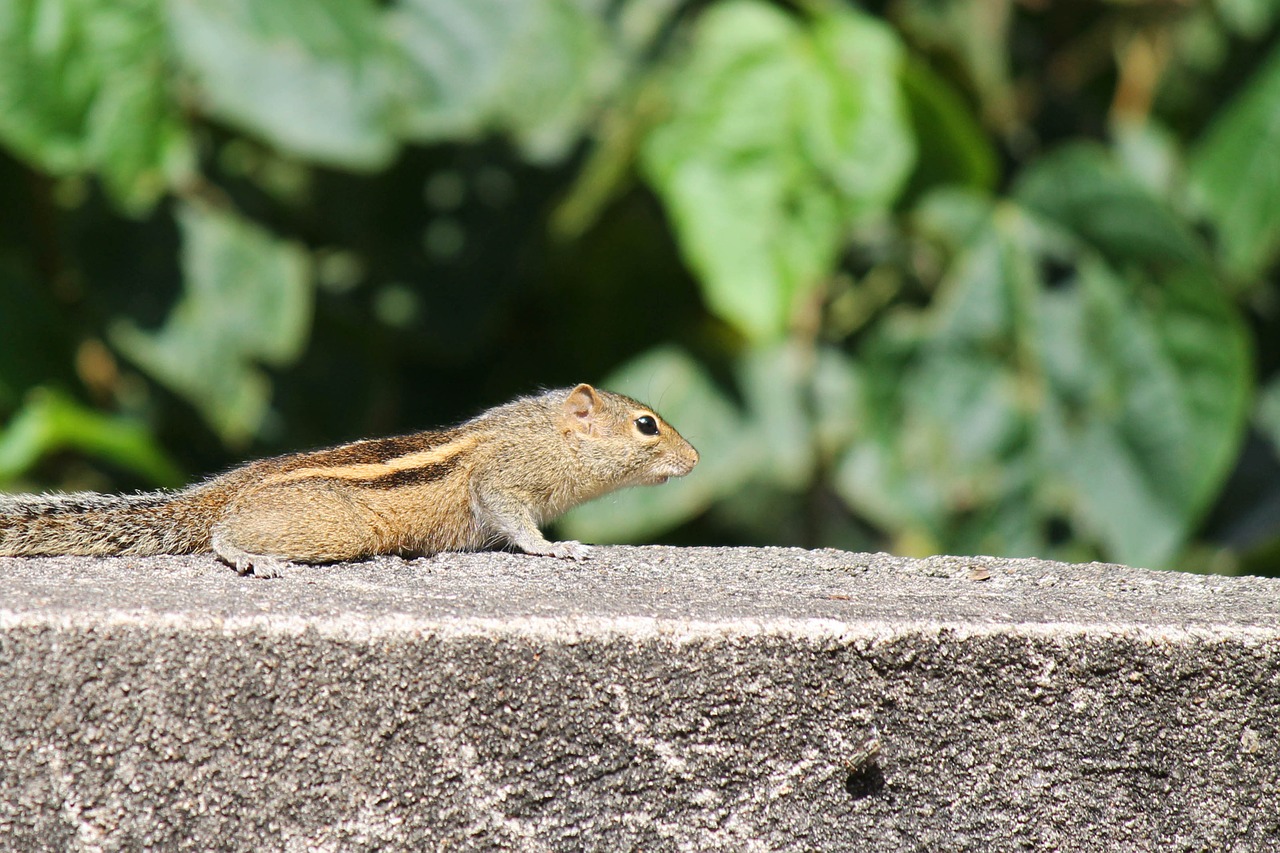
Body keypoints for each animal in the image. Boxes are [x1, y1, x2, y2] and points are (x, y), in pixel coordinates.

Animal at [0, 381, 701, 573]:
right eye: (646, 425)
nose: (695, 459)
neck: (546, 434)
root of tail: (218, 493)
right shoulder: (504, 480)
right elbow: (513, 520)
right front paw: (557, 548)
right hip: (337, 525)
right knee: (223, 536)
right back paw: (252, 558)